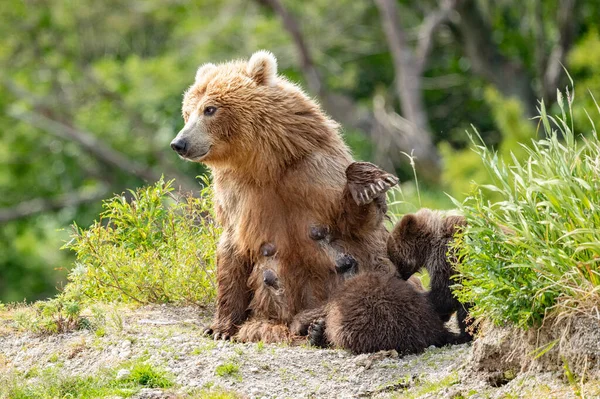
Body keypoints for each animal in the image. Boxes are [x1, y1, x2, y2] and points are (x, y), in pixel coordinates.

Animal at [169, 51, 394, 342]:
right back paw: (312, 327)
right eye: (187, 111)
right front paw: (219, 327)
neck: (266, 165)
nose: (179, 143)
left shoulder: (315, 170)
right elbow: (232, 252)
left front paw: (369, 185)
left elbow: (353, 222)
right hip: (267, 313)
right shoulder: (236, 199)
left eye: (209, 109)